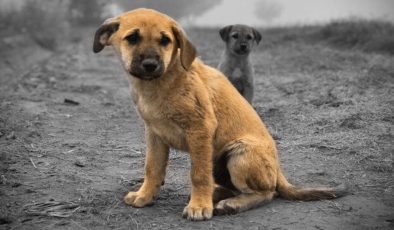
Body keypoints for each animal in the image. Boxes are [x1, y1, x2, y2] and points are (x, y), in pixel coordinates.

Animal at [92, 8, 344, 221]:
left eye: (165, 41)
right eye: (132, 38)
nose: (150, 65)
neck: (161, 84)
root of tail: (279, 170)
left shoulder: (200, 129)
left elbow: (198, 174)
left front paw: (199, 206)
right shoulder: (155, 134)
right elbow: (152, 168)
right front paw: (144, 196)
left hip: (239, 155)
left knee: (267, 192)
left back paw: (231, 203)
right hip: (219, 160)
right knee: (237, 186)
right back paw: (218, 194)